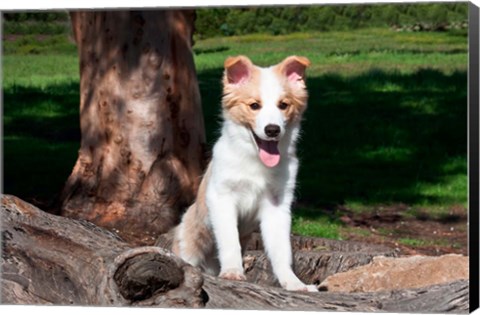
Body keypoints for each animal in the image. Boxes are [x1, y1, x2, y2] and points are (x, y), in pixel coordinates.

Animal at [172, 55, 316, 294]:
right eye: (254, 106)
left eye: (283, 105)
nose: (272, 130)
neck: (255, 161)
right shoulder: (222, 198)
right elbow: (230, 240)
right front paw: (232, 271)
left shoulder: (277, 206)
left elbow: (282, 249)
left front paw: (294, 283)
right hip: (188, 239)